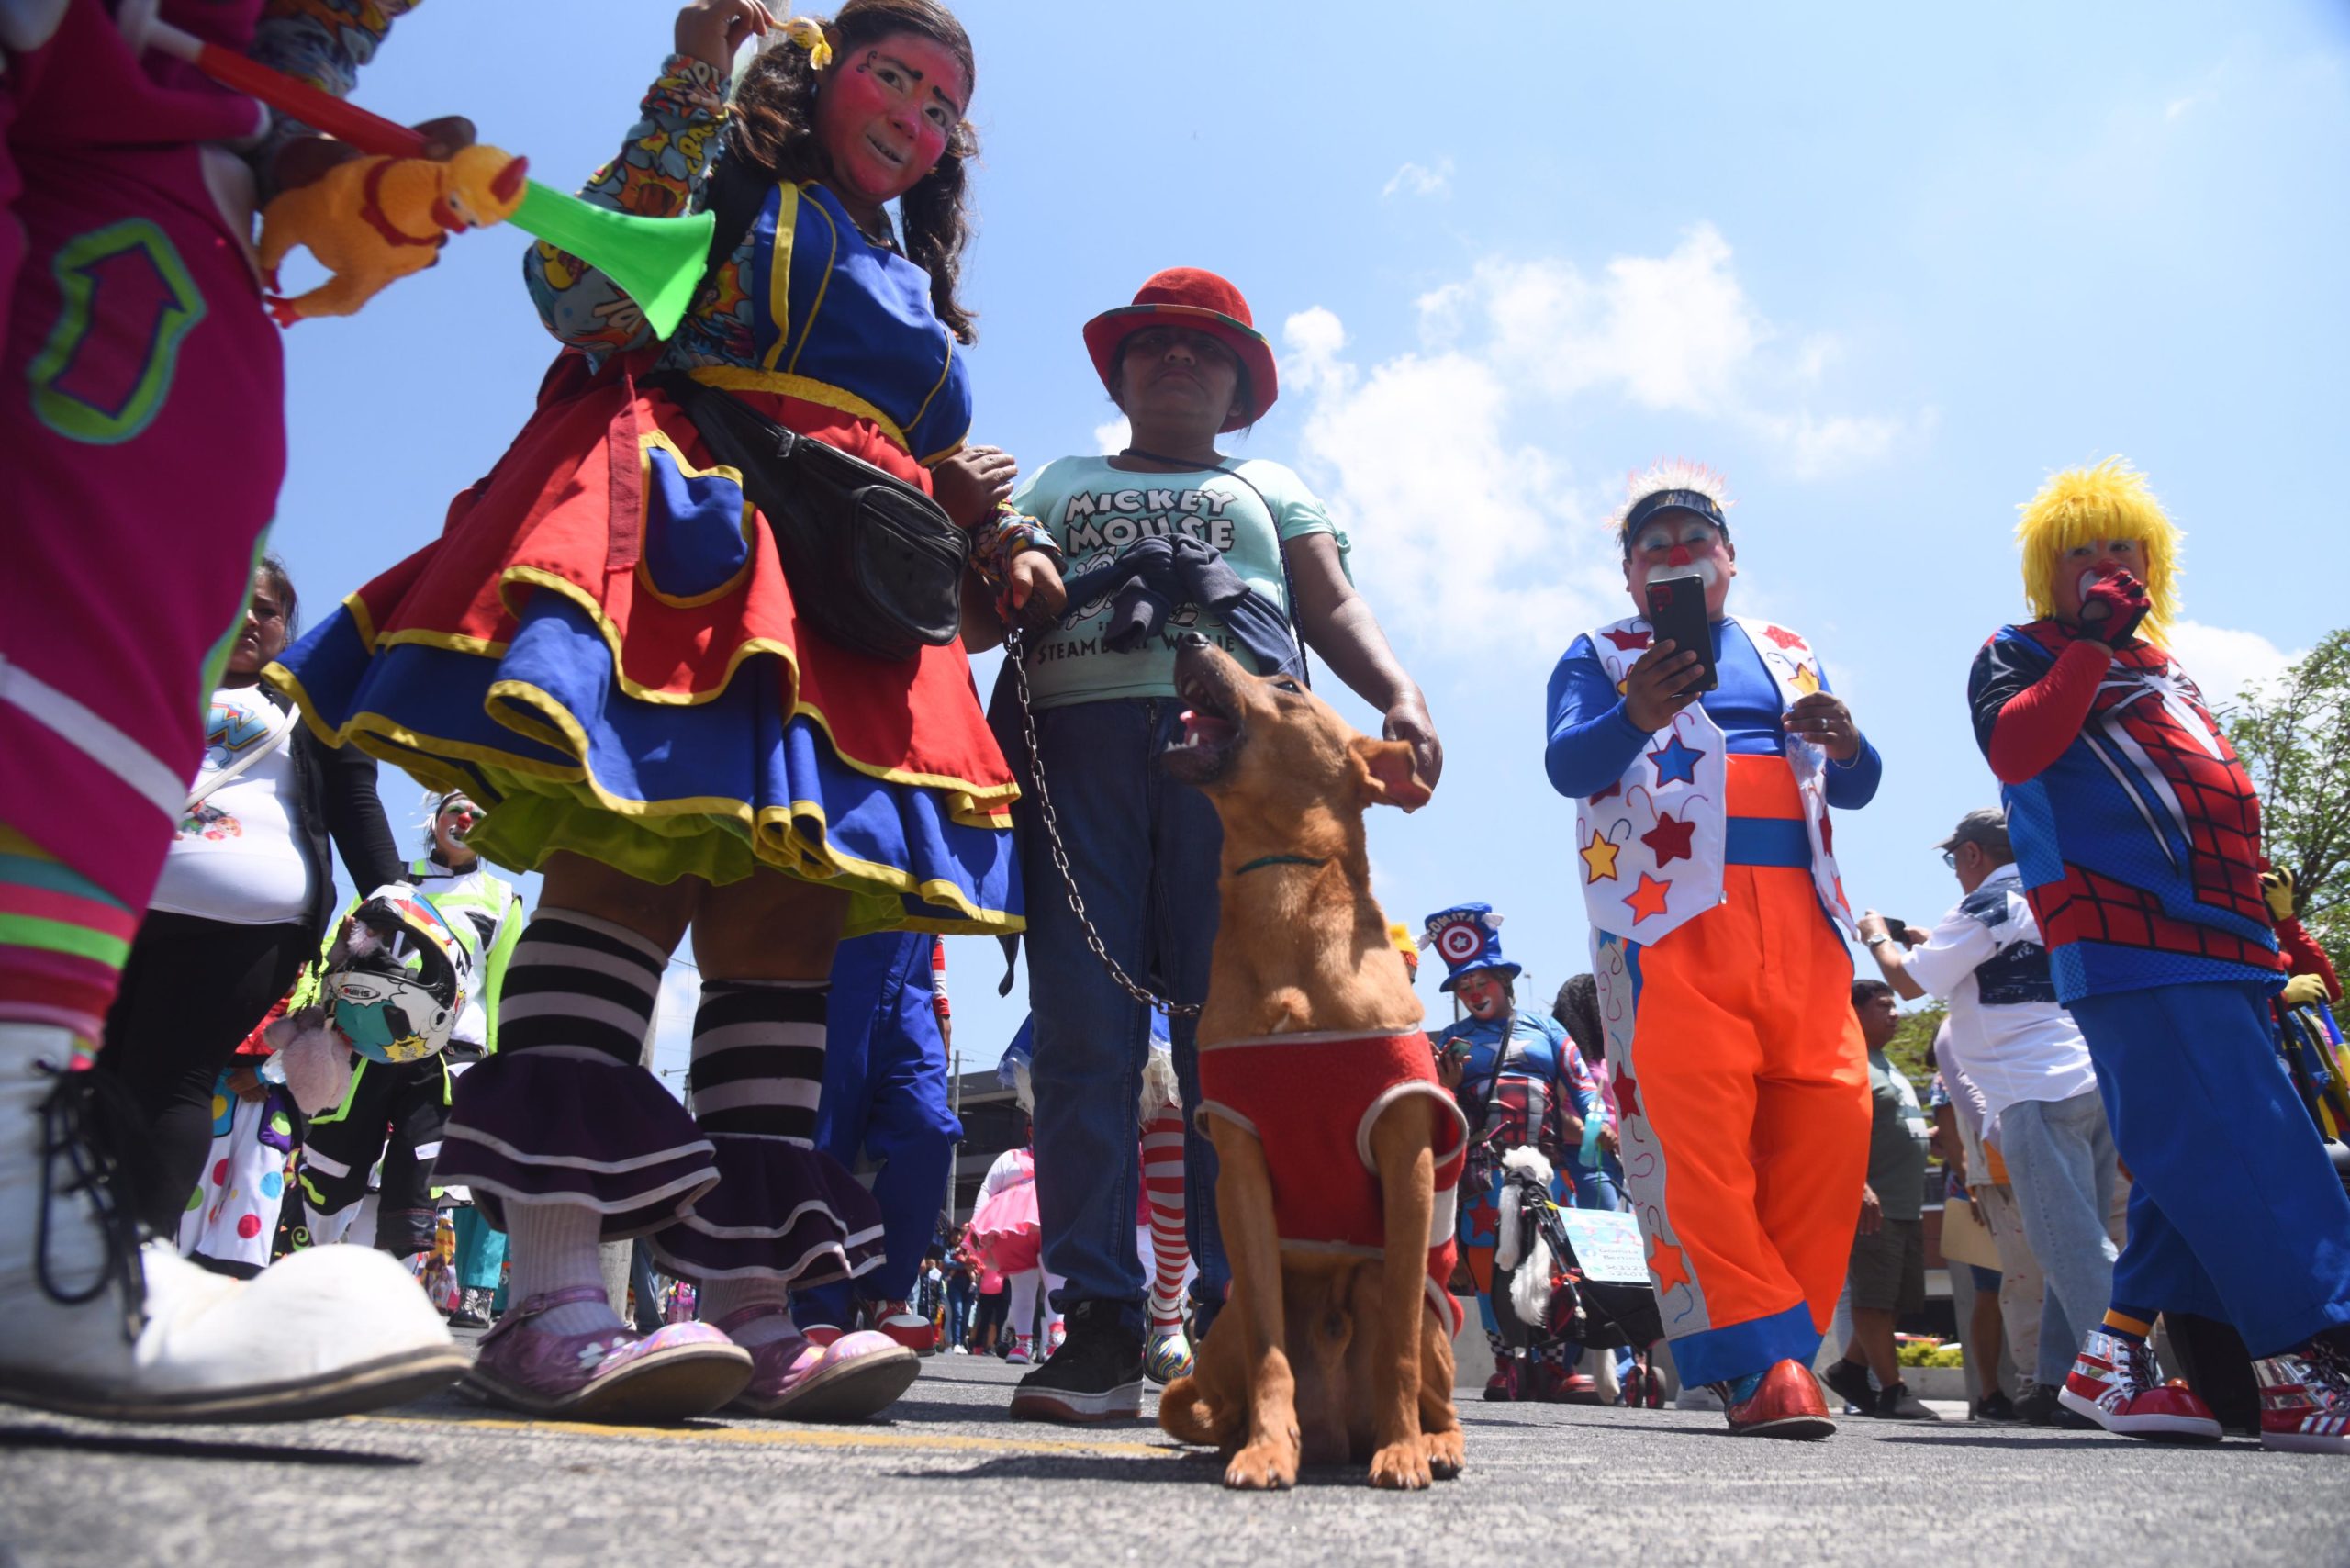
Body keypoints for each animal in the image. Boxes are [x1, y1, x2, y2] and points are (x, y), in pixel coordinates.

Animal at [1151, 639, 1457, 1495]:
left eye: (1285, 683)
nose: (1186, 638)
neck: (1281, 886)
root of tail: (1337, 1436)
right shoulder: (1240, 1172)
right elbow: (1271, 1355)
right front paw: (1264, 1448)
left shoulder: (1406, 1156)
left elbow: (1395, 1354)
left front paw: (1404, 1451)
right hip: (1221, 1328)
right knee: (1222, 1385)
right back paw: (1254, 1439)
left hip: (1420, 1310)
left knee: (1433, 1384)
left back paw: (1432, 1441)